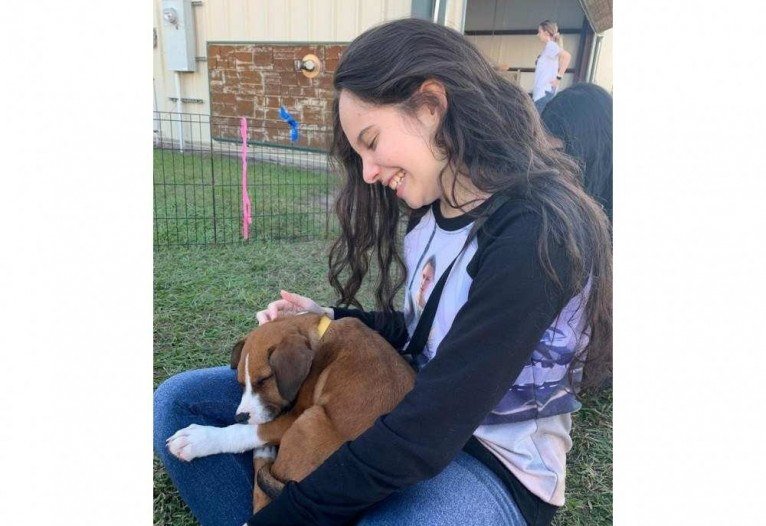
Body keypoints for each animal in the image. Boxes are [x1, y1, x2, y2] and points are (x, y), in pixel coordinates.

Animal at [166, 314, 414, 516]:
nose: (240, 417)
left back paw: (263, 453)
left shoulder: (295, 415)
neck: (320, 335)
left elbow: (253, 430)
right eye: (241, 384)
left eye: (264, 381)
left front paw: (198, 439)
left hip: (310, 422)